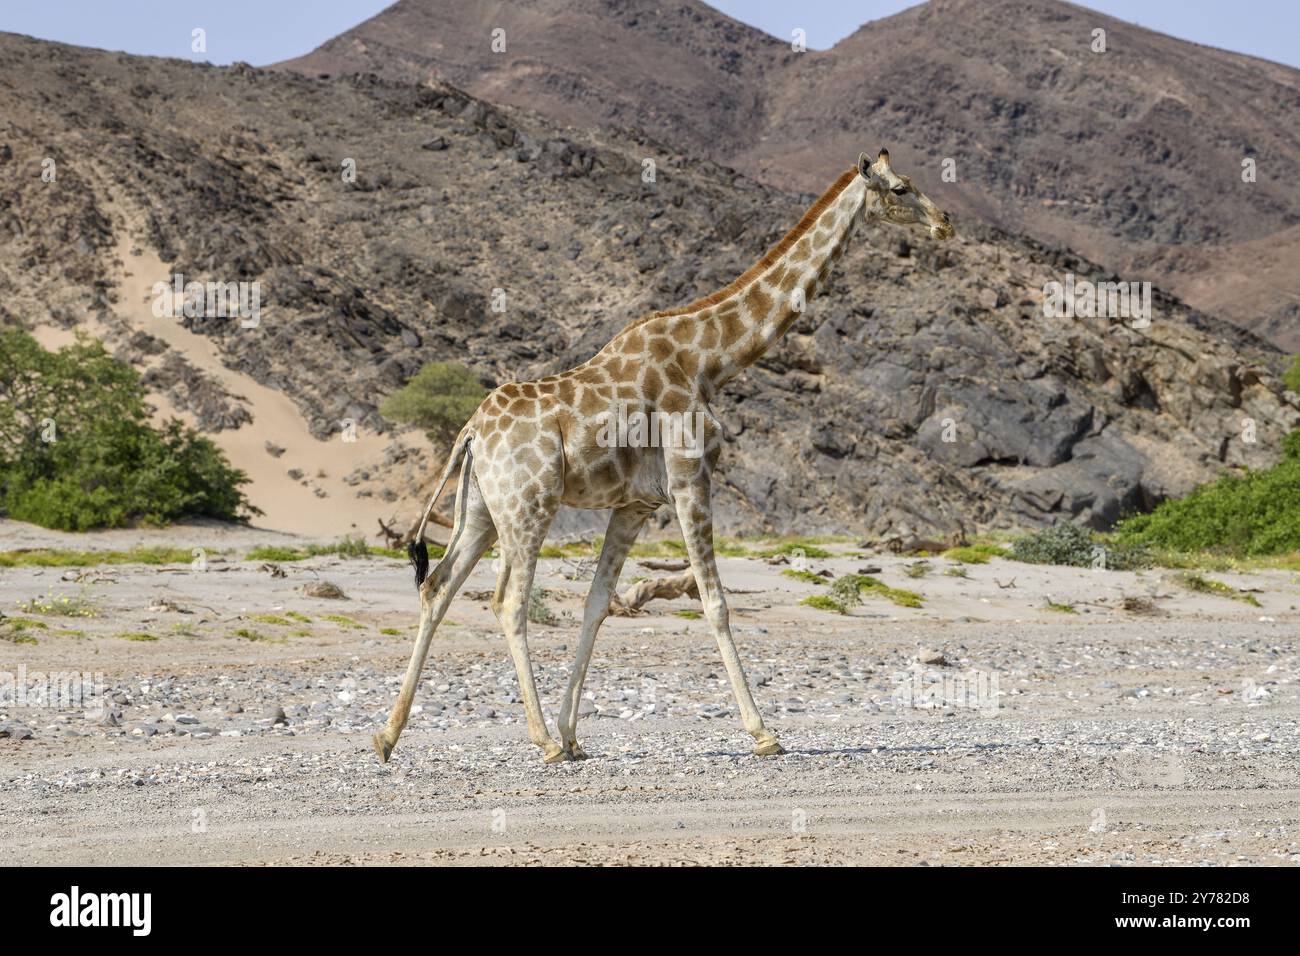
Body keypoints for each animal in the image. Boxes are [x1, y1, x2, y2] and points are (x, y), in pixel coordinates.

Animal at [377, 145, 956, 764]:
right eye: (900, 188)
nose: (945, 222)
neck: (711, 360)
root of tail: (469, 432)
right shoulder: (689, 479)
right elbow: (715, 602)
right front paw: (763, 733)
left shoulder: (635, 504)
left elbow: (598, 602)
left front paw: (574, 733)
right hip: (529, 505)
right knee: (508, 602)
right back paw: (539, 742)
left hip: (482, 510)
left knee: (437, 587)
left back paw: (388, 736)